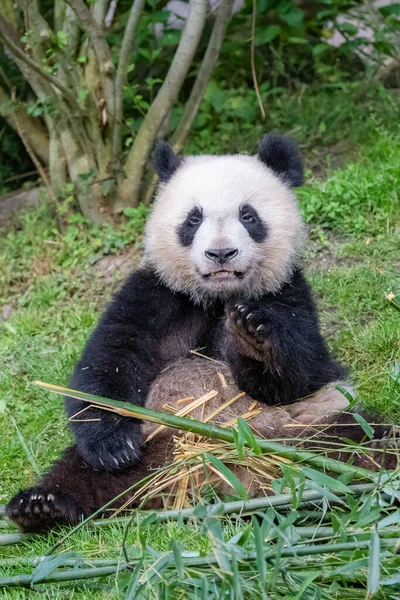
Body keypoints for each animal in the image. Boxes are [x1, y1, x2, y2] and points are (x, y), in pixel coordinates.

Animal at [5, 135, 396, 528]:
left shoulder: (286, 294)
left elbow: (299, 373)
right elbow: (107, 364)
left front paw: (254, 338)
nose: (221, 253)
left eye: (248, 216)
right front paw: (113, 446)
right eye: (193, 219)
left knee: (364, 440)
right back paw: (42, 506)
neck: (218, 298)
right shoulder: (154, 294)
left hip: (314, 426)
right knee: (81, 474)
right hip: (155, 435)